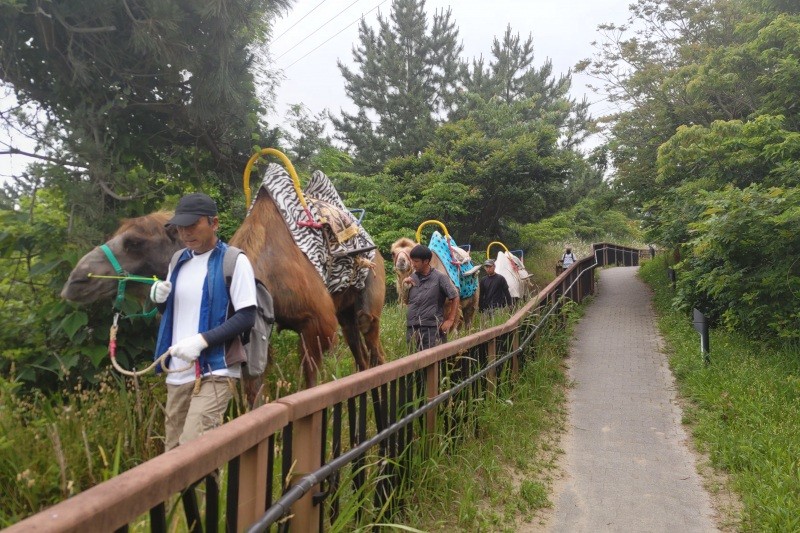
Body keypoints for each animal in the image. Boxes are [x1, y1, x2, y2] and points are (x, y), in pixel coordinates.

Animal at [62, 187, 388, 390]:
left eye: (134, 242)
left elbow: (307, 384)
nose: (75, 281)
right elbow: (253, 386)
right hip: (345, 310)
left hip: (371, 291)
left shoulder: (317, 323)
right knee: (361, 354)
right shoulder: (256, 327)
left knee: (372, 340)